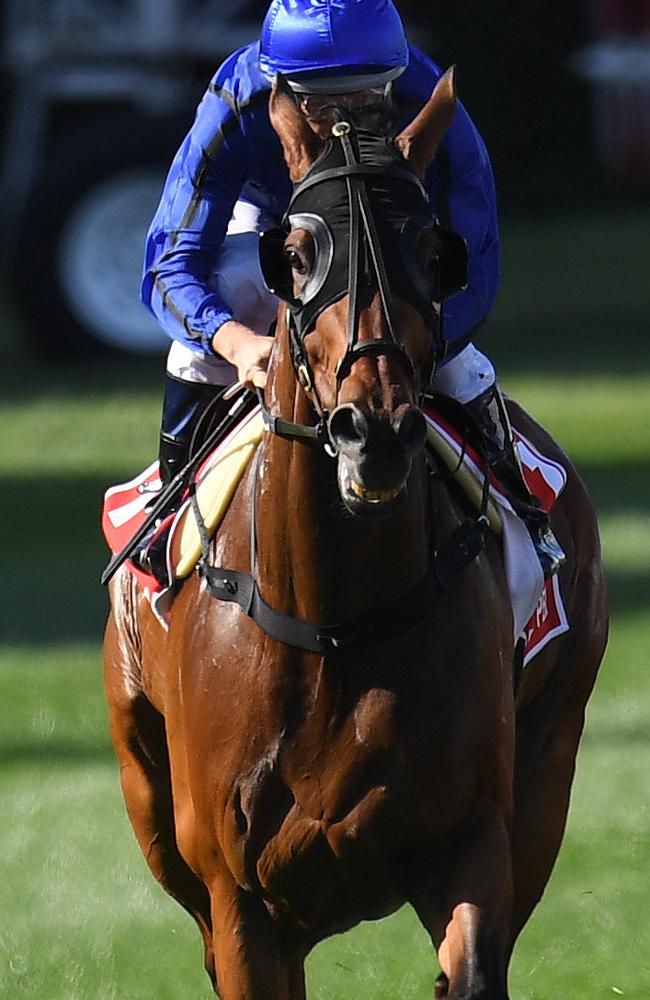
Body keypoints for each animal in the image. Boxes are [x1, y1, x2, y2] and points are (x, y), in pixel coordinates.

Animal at [104, 72, 604, 1000]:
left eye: (435, 253)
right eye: (297, 255)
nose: (375, 429)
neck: (333, 619)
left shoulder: (472, 837)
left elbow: (470, 968)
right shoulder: (238, 896)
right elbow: (173, 260)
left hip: (551, 755)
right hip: (149, 796)